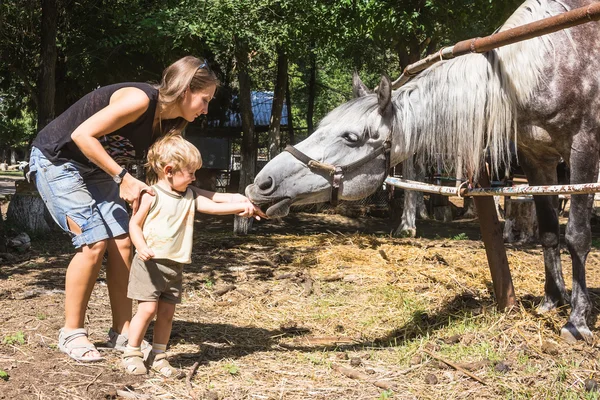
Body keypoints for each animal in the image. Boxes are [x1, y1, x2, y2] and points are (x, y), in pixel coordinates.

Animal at [246, 0, 600, 344]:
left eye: (351, 137)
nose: (262, 183)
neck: (544, 65)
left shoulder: (584, 151)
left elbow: (577, 236)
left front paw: (576, 320)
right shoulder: (536, 159)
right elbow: (549, 232)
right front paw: (552, 300)